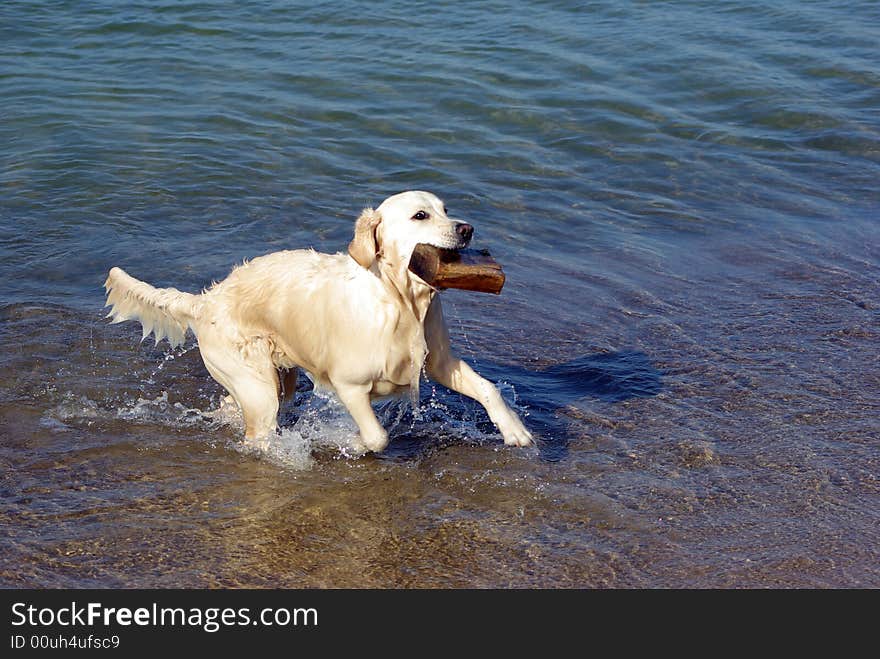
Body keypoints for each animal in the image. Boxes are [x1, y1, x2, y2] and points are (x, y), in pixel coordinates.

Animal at [103, 191, 528, 454]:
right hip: (255, 385)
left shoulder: (439, 361)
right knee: (258, 431)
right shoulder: (349, 384)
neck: (400, 301)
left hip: (274, 380)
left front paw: (516, 431)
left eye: (445, 209)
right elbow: (377, 436)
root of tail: (207, 299)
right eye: (420, 215)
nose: (467, 228)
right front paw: (351, 442)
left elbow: (488, 388)